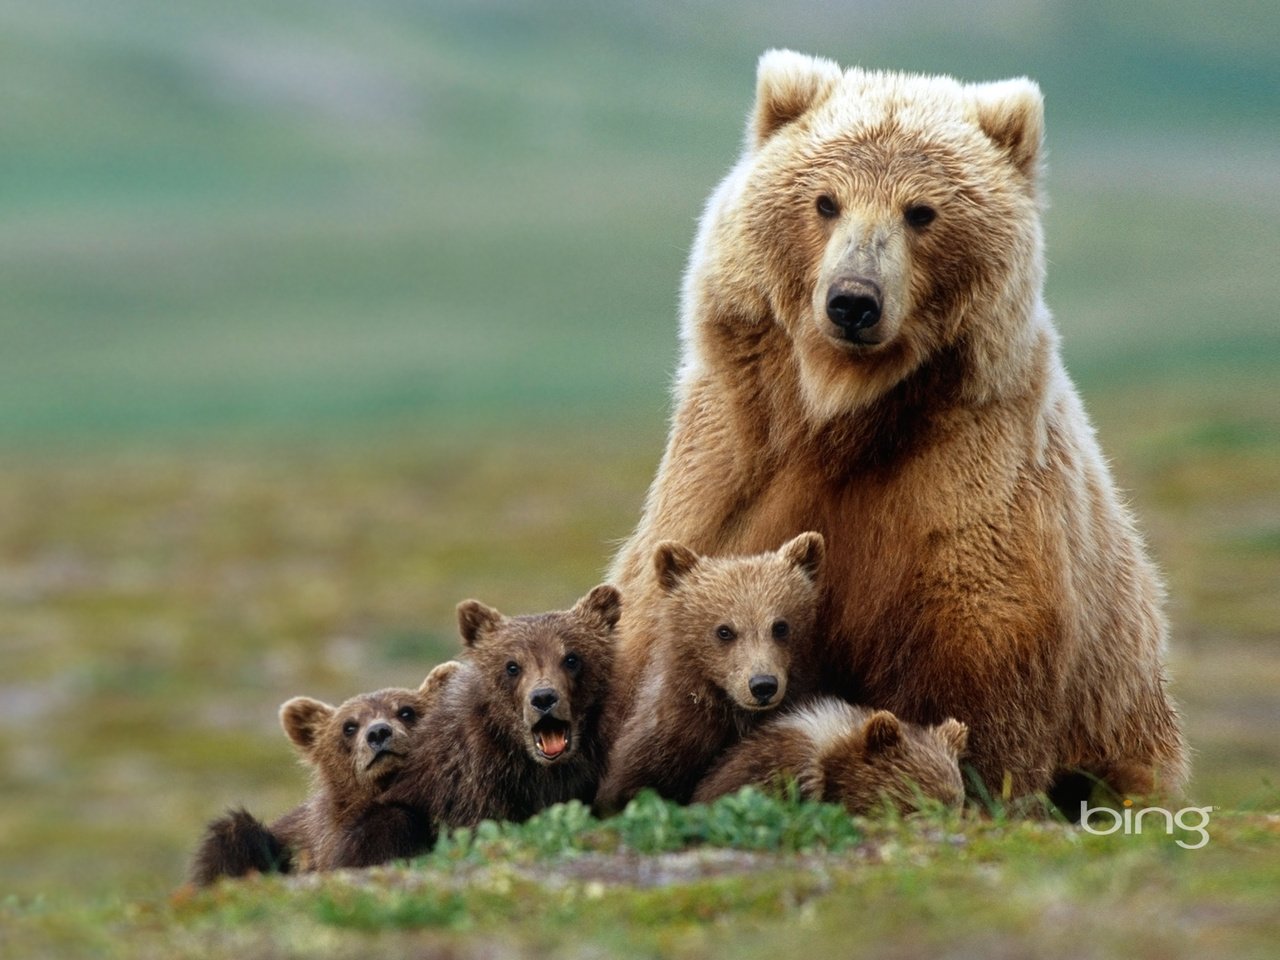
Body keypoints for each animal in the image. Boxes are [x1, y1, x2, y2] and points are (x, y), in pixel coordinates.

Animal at [609, 48, 1187, 808]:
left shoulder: (965, 486)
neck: (843, 413)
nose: (853, 300)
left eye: (922, 212)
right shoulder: (729, 467)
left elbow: (974, 674)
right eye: (825, 201)